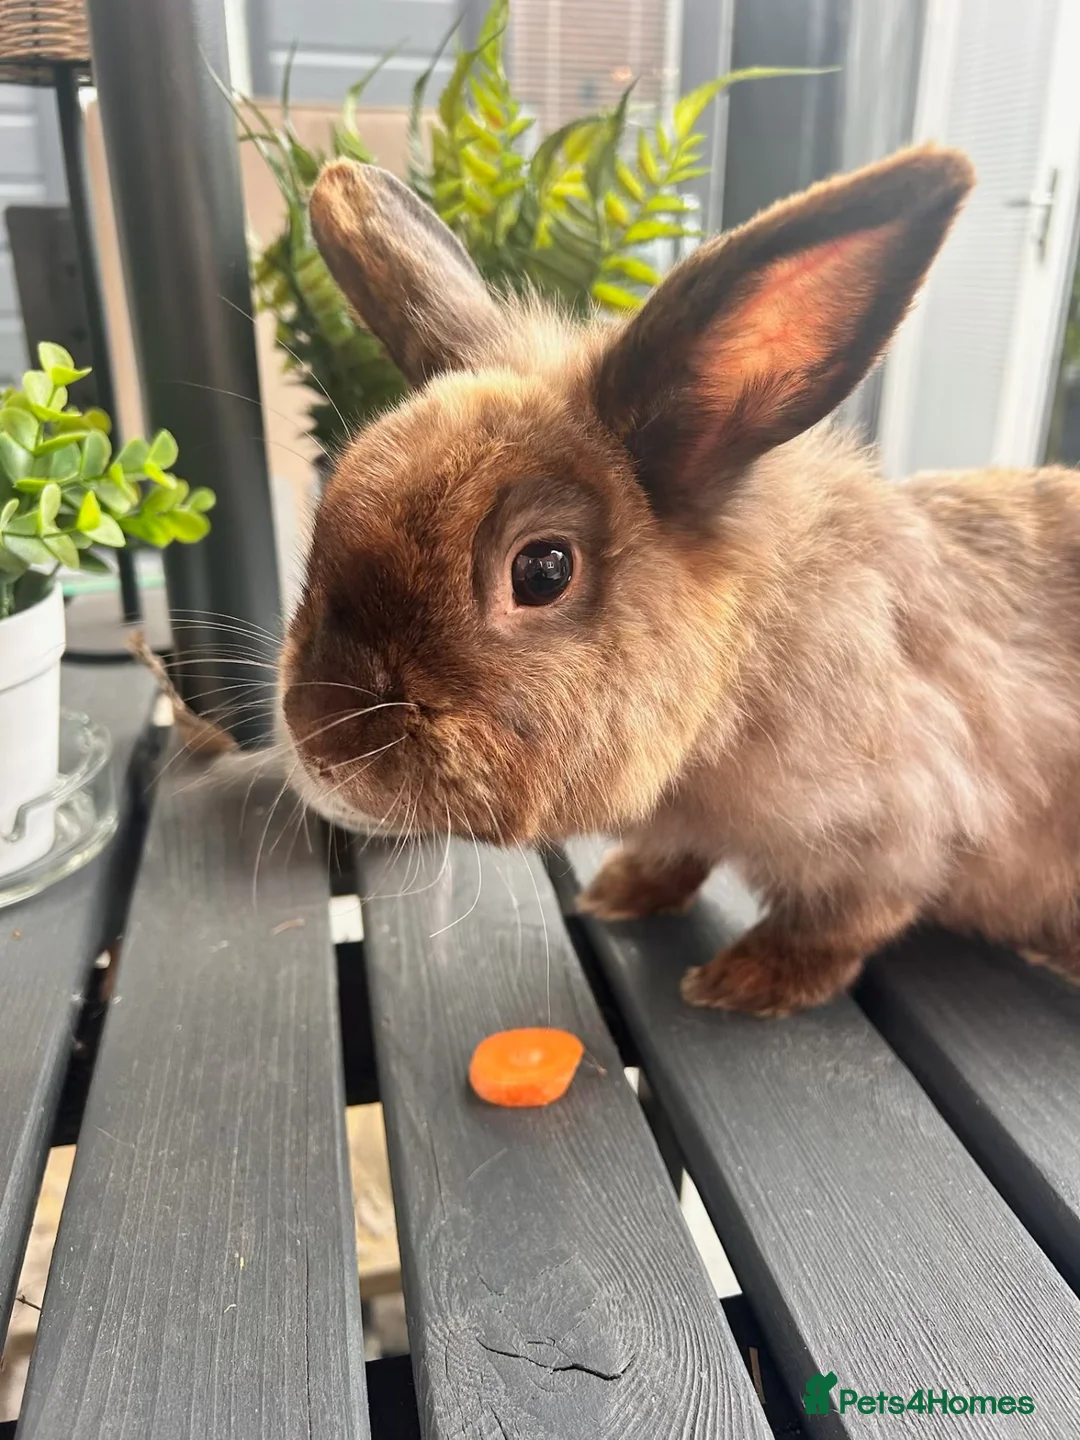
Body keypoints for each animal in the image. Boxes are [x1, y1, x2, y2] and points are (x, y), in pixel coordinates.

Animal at [280, 142, 1080, 1018]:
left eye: (543, 569)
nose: (321, 738)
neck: (742, 671)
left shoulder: (897, 825)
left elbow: (840, 920)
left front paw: (748, 980)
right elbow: (676, 855)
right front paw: (622, 890)